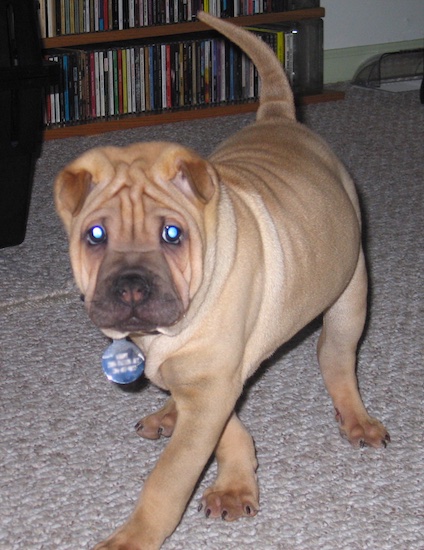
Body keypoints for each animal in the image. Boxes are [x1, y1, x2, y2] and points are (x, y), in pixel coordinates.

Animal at [54, 11, 390, 550]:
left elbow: (169, 478)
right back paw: (166, 413)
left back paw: (357, 418)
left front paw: (135, 536)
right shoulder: (212, 384)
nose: (131, 286)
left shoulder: (214, 382)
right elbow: (224, 430)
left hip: (349, 292)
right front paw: (234, 477)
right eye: (95, 235)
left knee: (336, 361)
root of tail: (278, 117)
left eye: (172, 234)